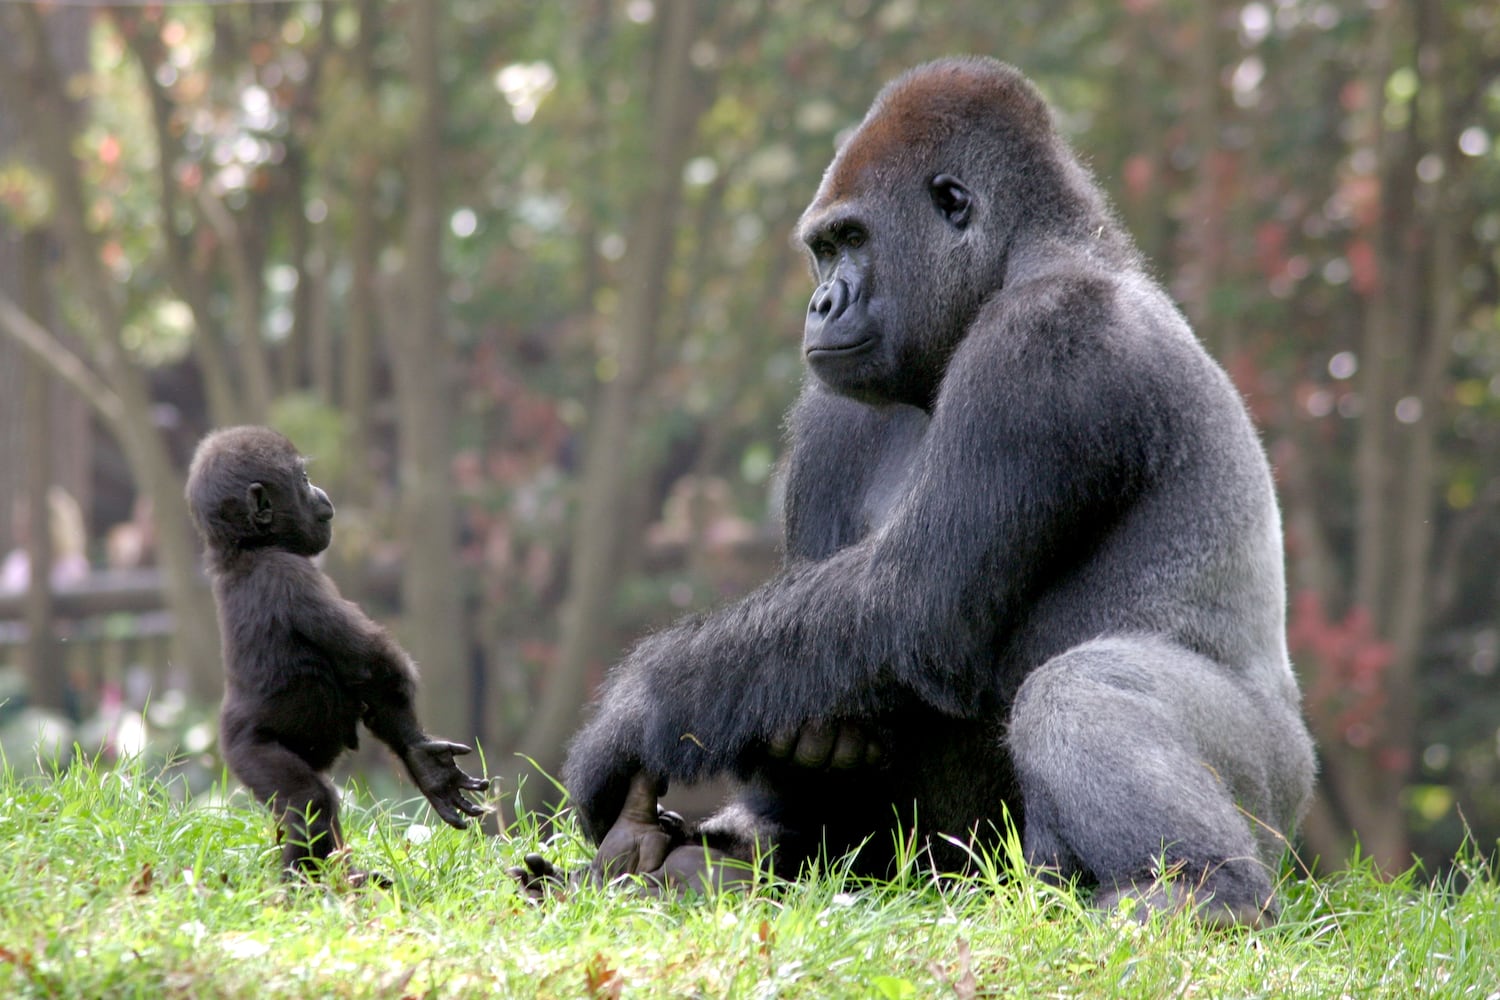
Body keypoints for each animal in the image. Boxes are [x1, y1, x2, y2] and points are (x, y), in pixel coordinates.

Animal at [183, 425, 483, 881]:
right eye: (303, 480)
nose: (321, 494)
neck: (246, 549)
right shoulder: (294, 578)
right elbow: (374, 665)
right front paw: (420, 754)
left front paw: (426, 768)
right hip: (249, 753)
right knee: (309, 800)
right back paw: (304, 881)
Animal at [561, 58, 1314, 929]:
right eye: (823, 250)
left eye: (853, 240)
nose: (822, 303)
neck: (1033, 252)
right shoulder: (833, 414)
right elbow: (814, 652)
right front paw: (807, 767)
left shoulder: (1045, 341)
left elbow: (914, 600)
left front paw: (630, 714)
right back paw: (683, 861)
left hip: (1273, 794)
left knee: (1079, 690)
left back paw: (1205, 890)